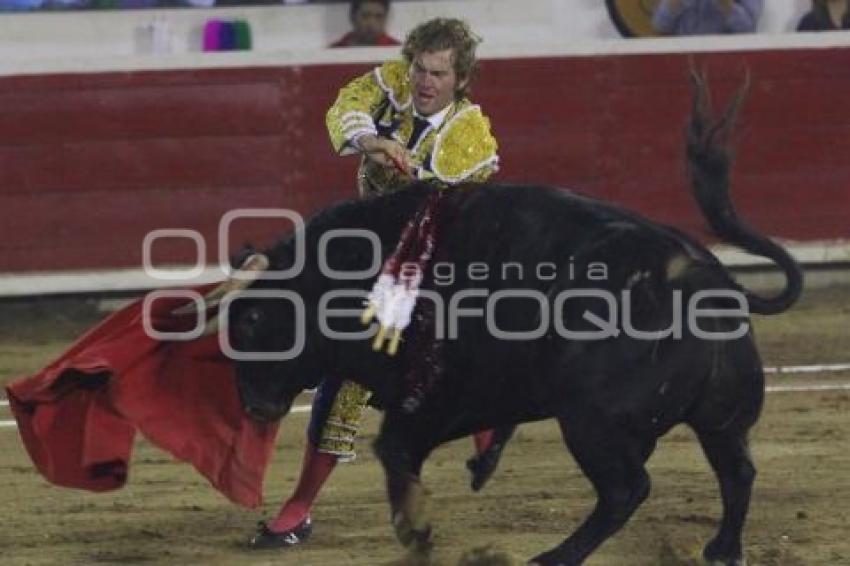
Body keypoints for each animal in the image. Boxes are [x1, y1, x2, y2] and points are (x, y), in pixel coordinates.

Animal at [212, 77, 800, 564]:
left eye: (253, 320)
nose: (254, 405)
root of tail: (710, 281)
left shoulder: (435, 394)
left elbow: (394, 449)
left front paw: (417, 531)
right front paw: (470, 475)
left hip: (592, 421)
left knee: (627, 489)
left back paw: (555, 557)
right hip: (719, 418)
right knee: (737, 470)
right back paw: (722, 549)